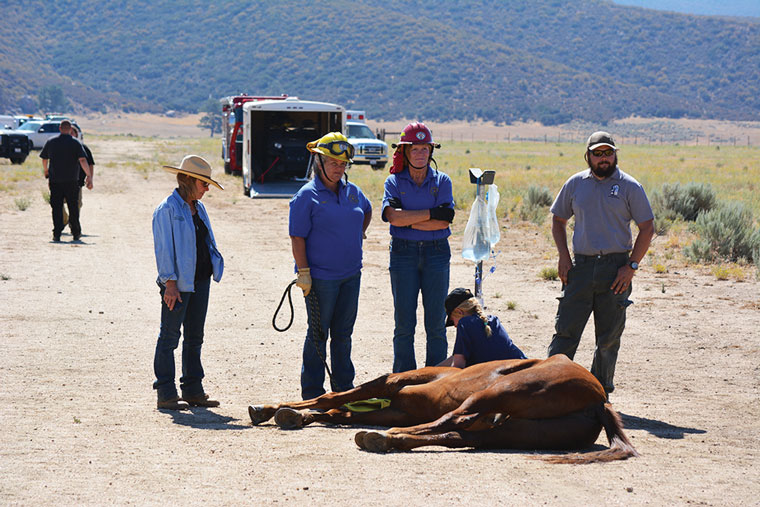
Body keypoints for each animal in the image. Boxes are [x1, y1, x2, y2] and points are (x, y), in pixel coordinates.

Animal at [248, 356, 636, 462]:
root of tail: (599, 401)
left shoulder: (396, 382)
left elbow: (332, 399)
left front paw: (270, 409)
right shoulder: (396, 408)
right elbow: (337, 411)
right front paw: (291, 414)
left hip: (502, 390)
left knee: (456, 419)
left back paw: (383, 437)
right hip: (515, 432)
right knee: (457, 434)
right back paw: (386, 439)